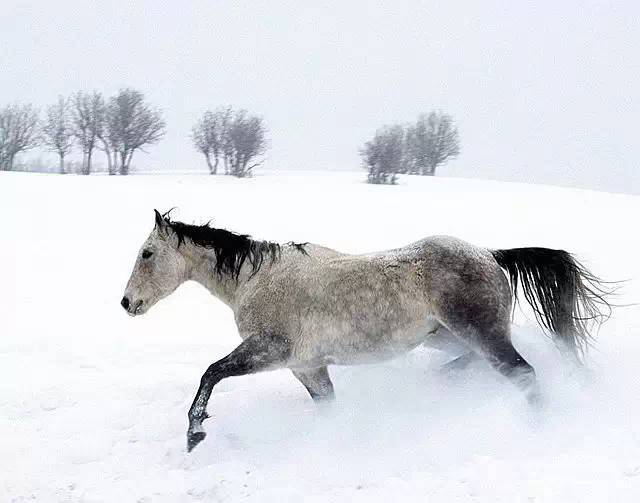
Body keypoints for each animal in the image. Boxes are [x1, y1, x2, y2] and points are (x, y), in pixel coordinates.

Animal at [121, 210, 608, 452]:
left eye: (147, 253)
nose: (127, 303)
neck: (257, 279)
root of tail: (489, 254)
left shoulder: (270, 349)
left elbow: (211, 372)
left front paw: (194, 433)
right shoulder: (307, 367)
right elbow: (328, 407)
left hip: (481, 333)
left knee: (524, 375)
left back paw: (538, 428)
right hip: (446, 336)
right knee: (476, 362)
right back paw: (443, 381)